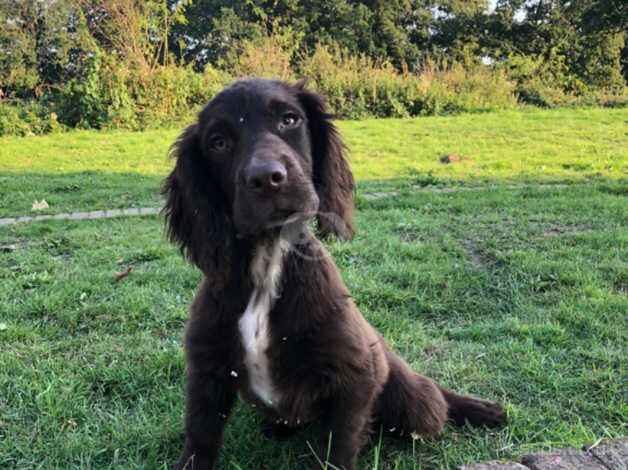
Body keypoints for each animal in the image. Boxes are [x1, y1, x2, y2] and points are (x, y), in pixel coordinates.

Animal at [162, 79, 506, 468]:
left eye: (289, 120)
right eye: (217, 142)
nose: (267, 178)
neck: (268, 263)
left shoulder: (356, 375)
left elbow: (340, 443)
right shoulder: (206, 371)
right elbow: (199, 437)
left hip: (416, 404)